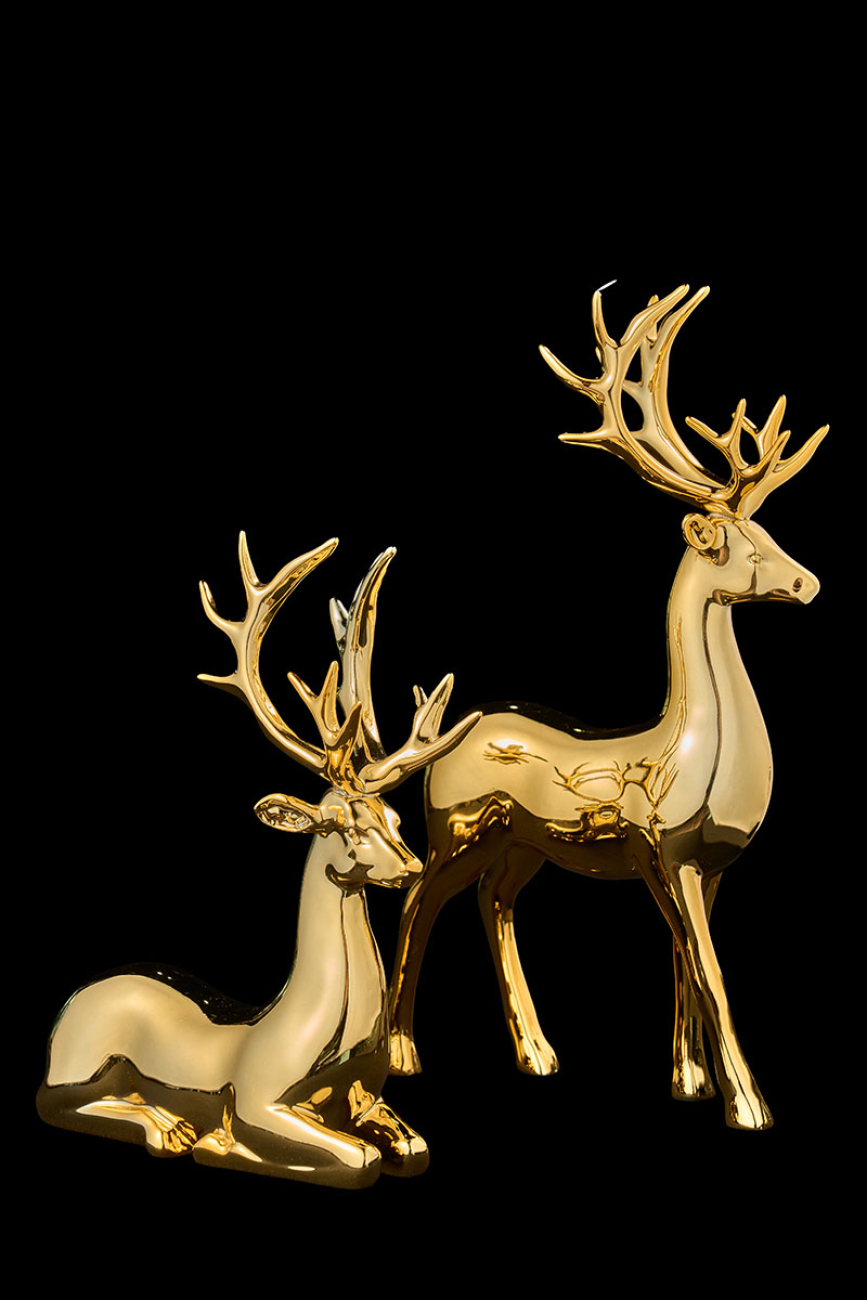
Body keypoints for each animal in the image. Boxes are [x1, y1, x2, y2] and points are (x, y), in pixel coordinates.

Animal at [37, 535, 479, 1186]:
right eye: (344, 825)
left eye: (394, 819)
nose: (412, 867)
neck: (303, 1034)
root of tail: (82, 993)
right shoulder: (254, 1099)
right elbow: (359, 1157)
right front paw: (220, 1146)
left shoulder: (370, 1099)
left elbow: (411, 1144)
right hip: (81, 1060)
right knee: (56, 1100)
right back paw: (172, 1129)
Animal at [386, 284, 828, 1131]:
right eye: (740, 542)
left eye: (767, 528)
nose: (807, 582)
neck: (691, 756)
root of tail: (453, 734)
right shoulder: (663, 848)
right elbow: (712, 973)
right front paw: (746, 1106)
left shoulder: (708, 864)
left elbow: (685, 961)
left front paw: (686, 1081)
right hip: (454, 826)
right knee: (417, 901)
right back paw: (401, 1054)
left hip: (519, 845)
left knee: (494, 903)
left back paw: (537, 1053)